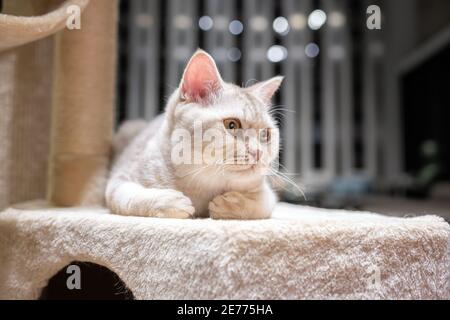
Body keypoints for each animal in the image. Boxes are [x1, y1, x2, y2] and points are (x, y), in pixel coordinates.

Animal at [105, 49, 282, 220]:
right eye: (232, 125)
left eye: (266, 134)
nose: (258, 152)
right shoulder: (119, 179)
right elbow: (130, 197)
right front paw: (169, 201)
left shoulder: (266, 192)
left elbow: (262, 204)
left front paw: (231, 203)